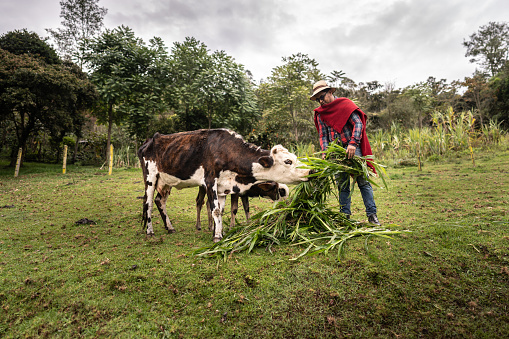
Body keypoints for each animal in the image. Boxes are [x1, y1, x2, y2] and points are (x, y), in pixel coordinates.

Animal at [137, 129, 308, 243]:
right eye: (288, 161)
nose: (310, 170)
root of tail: (148, 141)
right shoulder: (210, 181)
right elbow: (216, 210)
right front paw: (218, 236)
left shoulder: (223, 187)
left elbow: (222, 209)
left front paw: (219, 231)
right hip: (150, 177)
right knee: (149, 203)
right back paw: (150, 231)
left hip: (165, 182)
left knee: (160, 201)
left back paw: (170, 227)